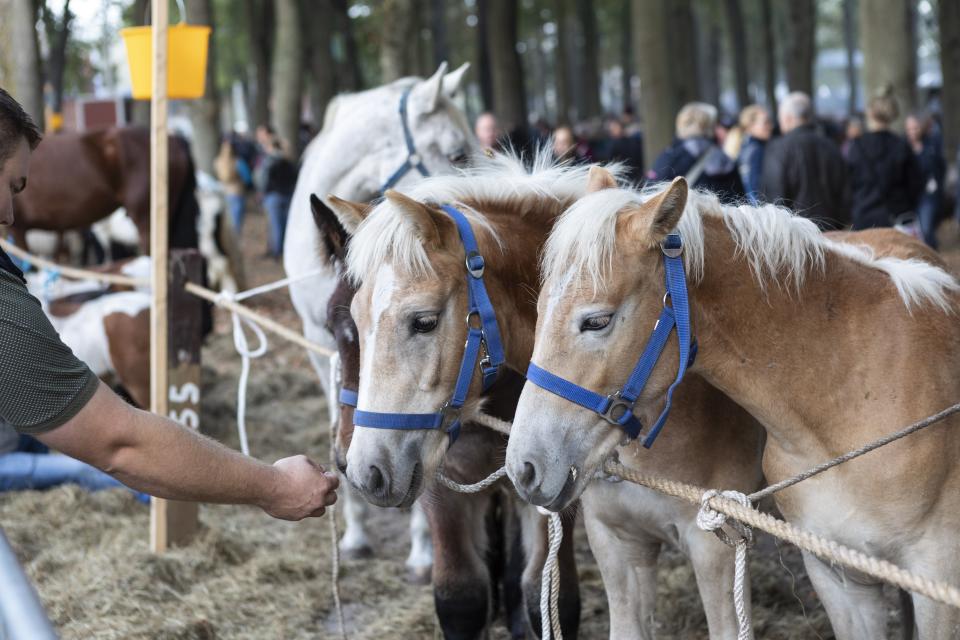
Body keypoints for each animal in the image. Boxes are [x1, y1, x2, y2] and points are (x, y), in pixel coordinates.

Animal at [506, 168, 960, 639]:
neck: (848, 396)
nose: (524, 467)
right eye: (538, 309)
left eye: (597, 321)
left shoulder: (936, 583)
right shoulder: (838, 579)